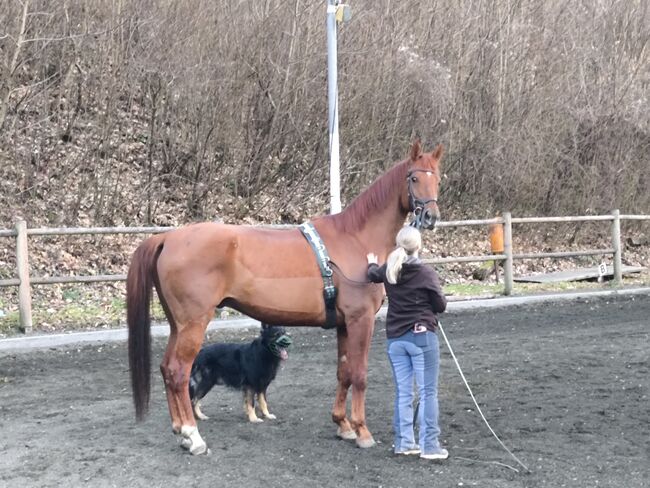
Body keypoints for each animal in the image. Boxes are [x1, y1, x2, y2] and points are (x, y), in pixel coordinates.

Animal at [126, 139, 443, 454]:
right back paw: (193, 437)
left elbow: (344, 372)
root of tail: (167, 238)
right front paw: (362, 431)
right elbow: (360, 375)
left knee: (167, 369)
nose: (431, 217)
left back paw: (181, 431)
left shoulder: (344, 324)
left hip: (177, 325)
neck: (354, 239)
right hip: (193, 324)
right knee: (179, 372)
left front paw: (343, 425)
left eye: (437, 178)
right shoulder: (360, 320)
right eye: (414, 178)